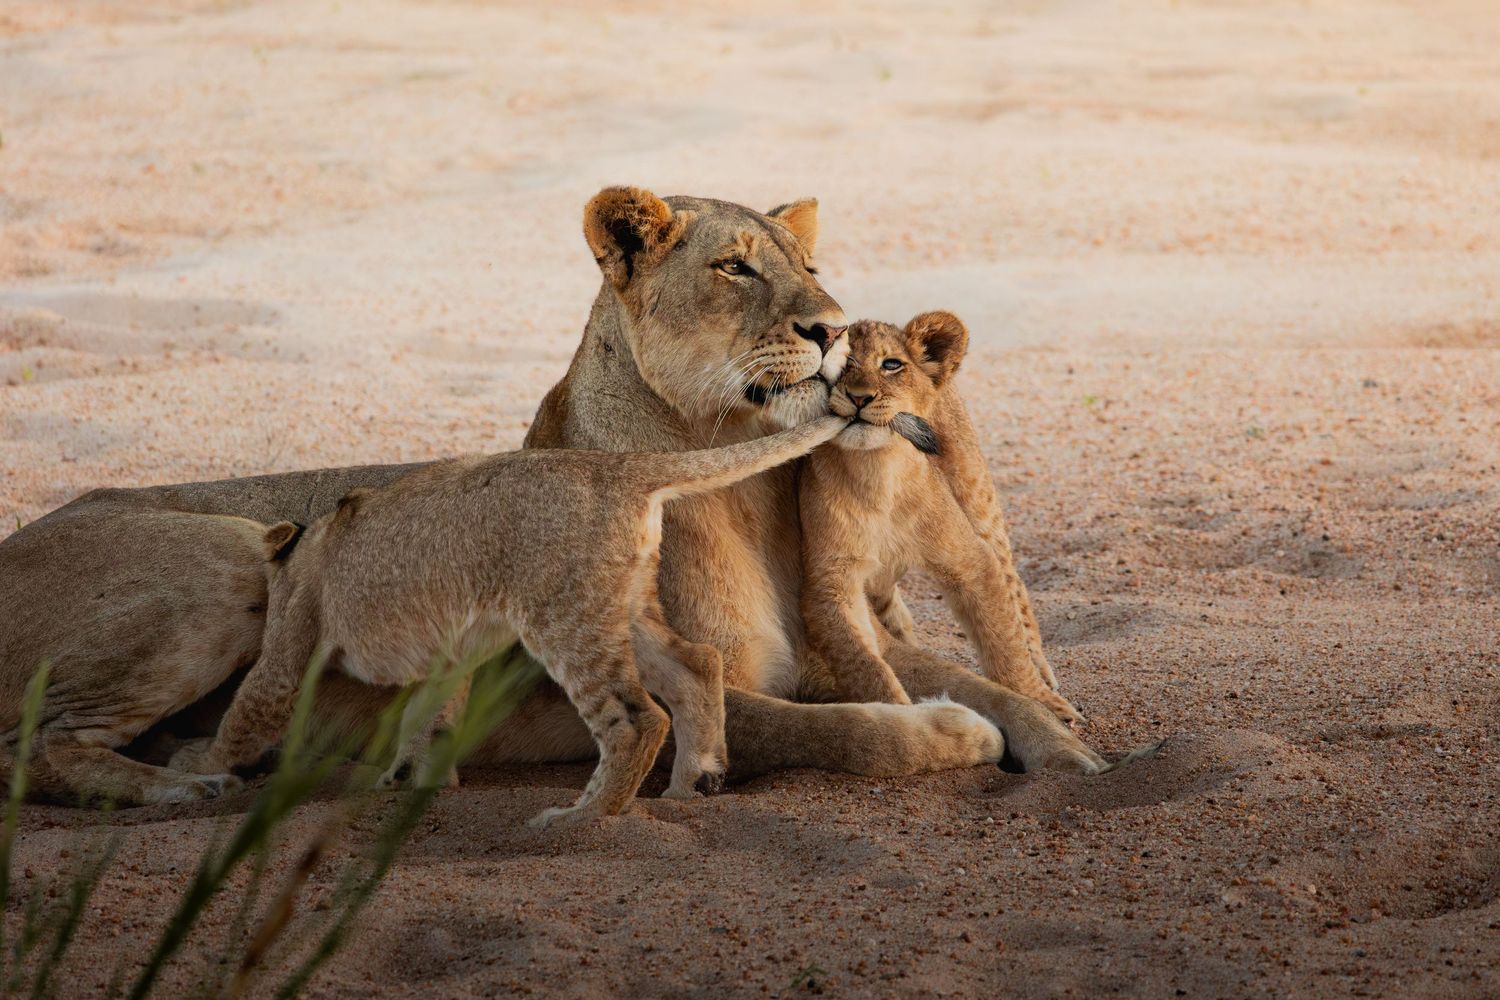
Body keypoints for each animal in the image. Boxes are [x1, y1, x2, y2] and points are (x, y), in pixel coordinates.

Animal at [798, 313, 1082, 725]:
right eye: (842, 364)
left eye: (891, 365)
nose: (860, 397)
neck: (876, 475)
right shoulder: (829, 583)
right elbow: (863, 664)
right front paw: (902, 717)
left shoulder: (971, 559)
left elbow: (1002, 638)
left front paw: (1043, 702)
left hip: (979, 499)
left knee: (1015, 588)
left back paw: (1042, 670)